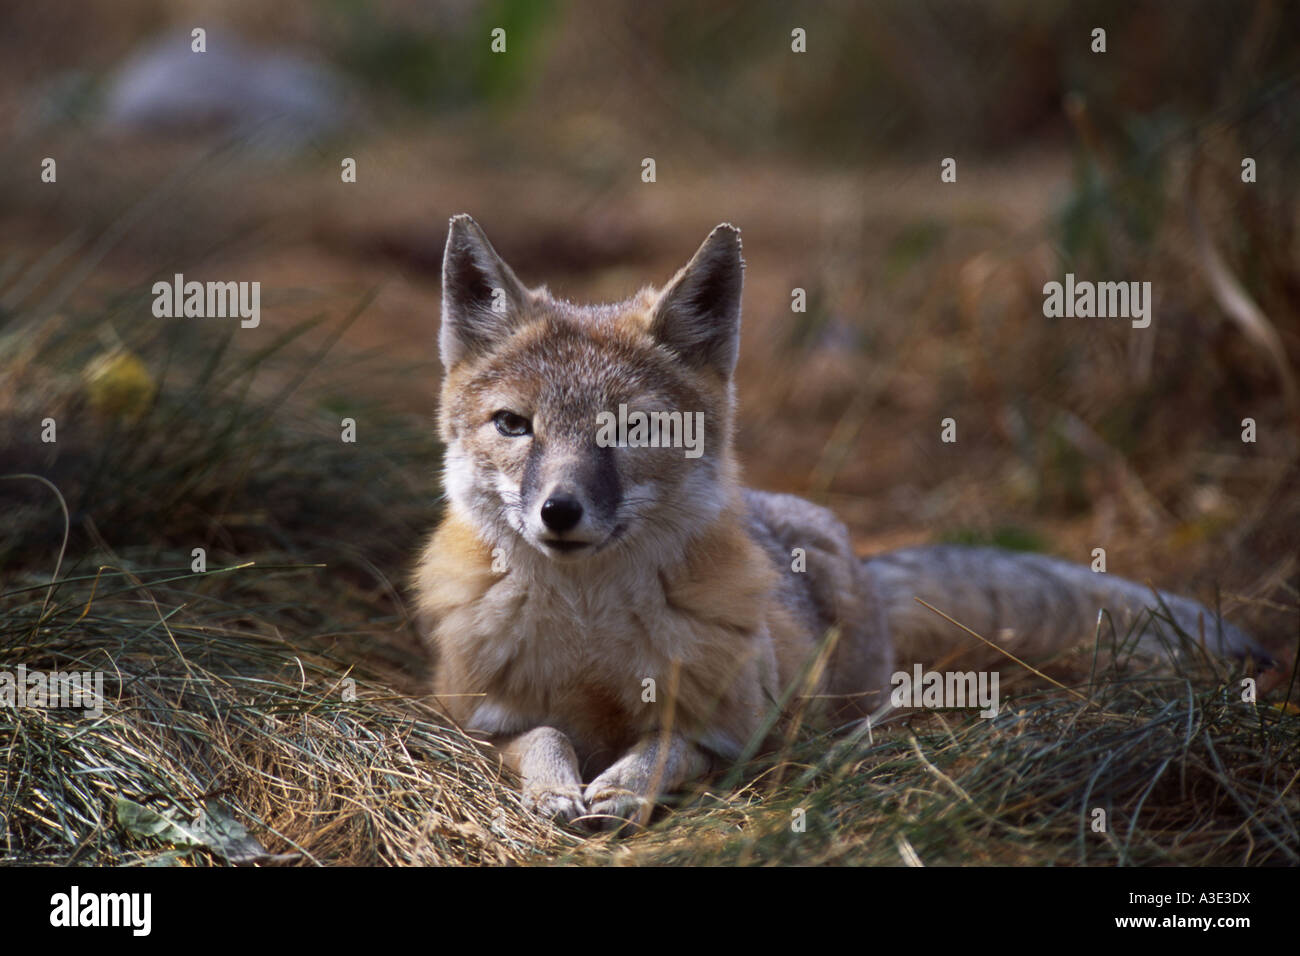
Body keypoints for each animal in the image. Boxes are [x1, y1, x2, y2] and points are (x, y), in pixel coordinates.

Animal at [413, 217, 1258, 832]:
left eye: (632, 432)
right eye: (514, 425)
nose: (559, 511)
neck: (590, 638)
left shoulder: (736, 731)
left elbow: (666, 750)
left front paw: (622, 786)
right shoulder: (473, 717)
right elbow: (542, 738)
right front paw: (559, 786)